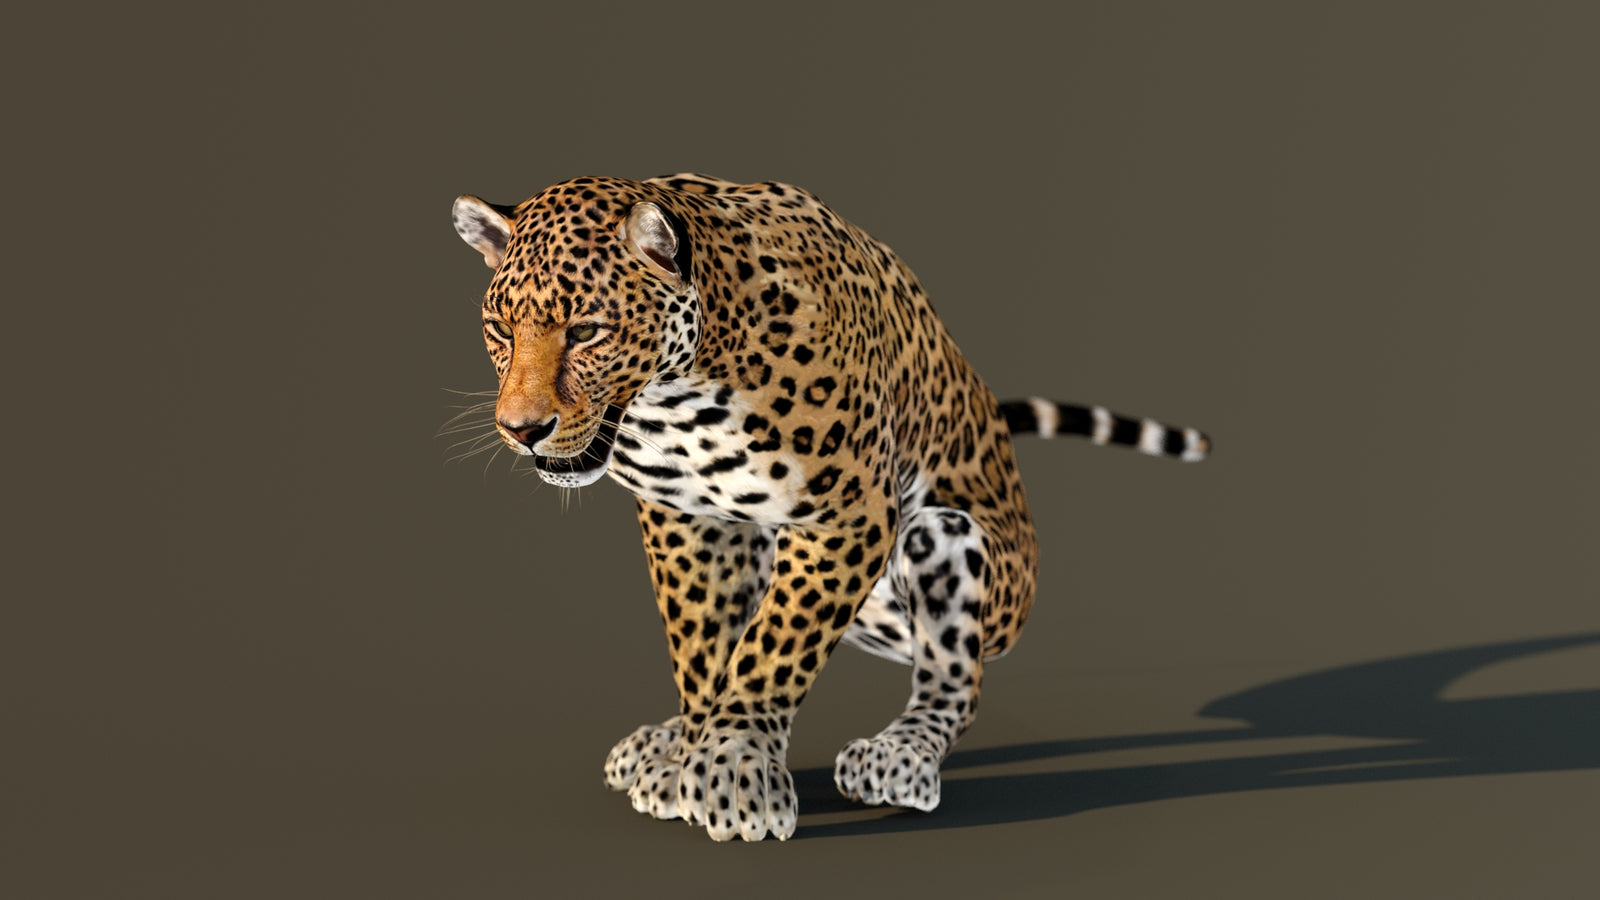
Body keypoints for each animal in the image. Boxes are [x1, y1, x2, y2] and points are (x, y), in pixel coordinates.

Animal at [449, 174, 1209, 841]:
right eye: (499, 329)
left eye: (586, 332)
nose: (520, 429)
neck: (678, 395)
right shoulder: (690, 520)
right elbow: (701, 646)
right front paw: (687, 754)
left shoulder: (849, 511)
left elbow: (774, 645)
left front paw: (731, 767)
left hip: (947, 538)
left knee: (955, 679)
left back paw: (900, 756)